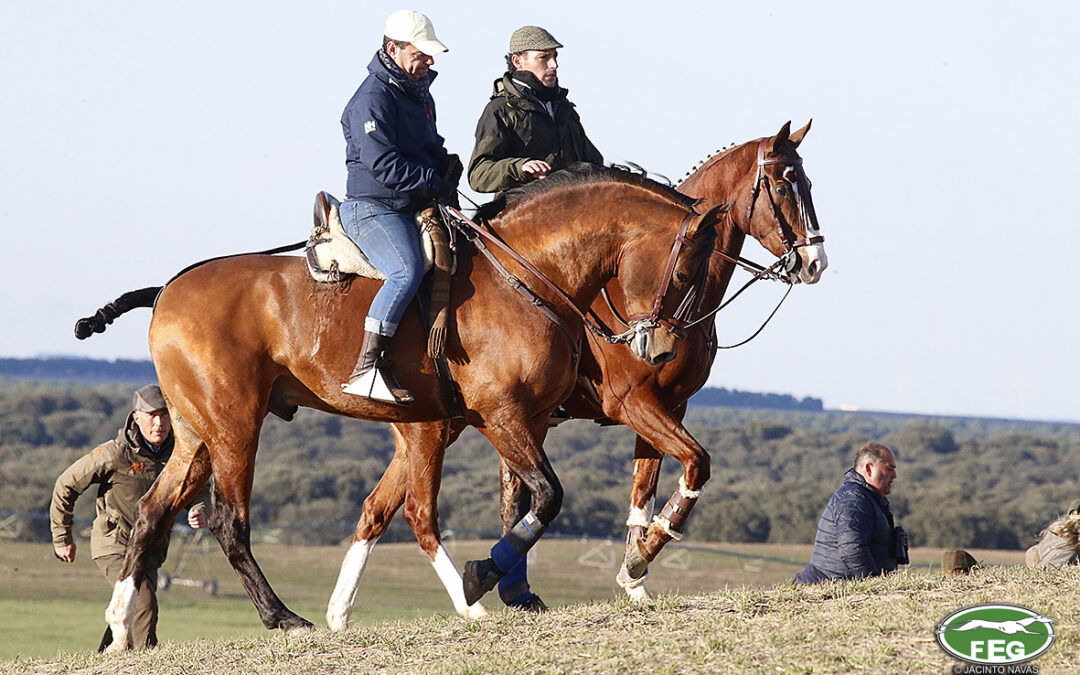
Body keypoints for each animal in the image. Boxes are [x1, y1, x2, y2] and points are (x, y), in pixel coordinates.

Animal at [83, 167, 725, 650]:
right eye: (688, 268)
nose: (661, 348)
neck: (524, 276)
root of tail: (167, 290)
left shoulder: (518, 420)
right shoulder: (503, 416)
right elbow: (544, 497)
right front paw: (482, 578)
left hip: (197, 437)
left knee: (151, 514)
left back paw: (119, 625)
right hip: (235, 427)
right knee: (229, 522)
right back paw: (284, 617)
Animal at [326, 121, 827, 620]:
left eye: (808, 182)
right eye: (783, 184)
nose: (814, 263)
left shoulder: (670, 407)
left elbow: (645, 491)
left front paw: (635, 570)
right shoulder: (633, 403)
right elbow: (695, 463)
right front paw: (641, 558)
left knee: (378, 509)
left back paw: (342, 612)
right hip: (439, 428)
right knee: (419, 509)